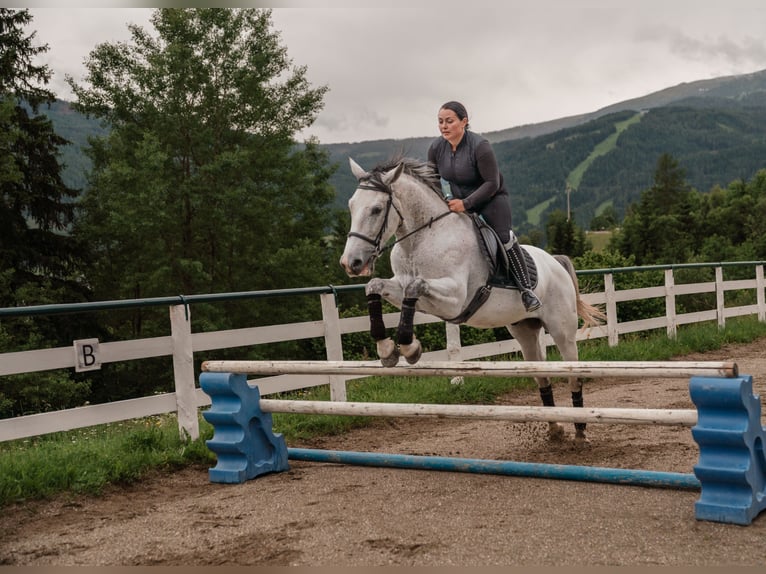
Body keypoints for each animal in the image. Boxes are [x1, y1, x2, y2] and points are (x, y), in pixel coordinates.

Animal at [340, 155, 608, 444]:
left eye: (376, 209)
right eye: (351, 206)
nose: (351, 263)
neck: (422, 239)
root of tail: (555, 262)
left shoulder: (454, 299)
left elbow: (414, 286)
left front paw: (409, 348)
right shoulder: (403, 287)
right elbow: (375, 286)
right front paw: (387, 348)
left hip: (562, 331)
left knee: (574, 376)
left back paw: (580, 431)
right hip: (525, 331)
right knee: (542, 376)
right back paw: (555, 428)